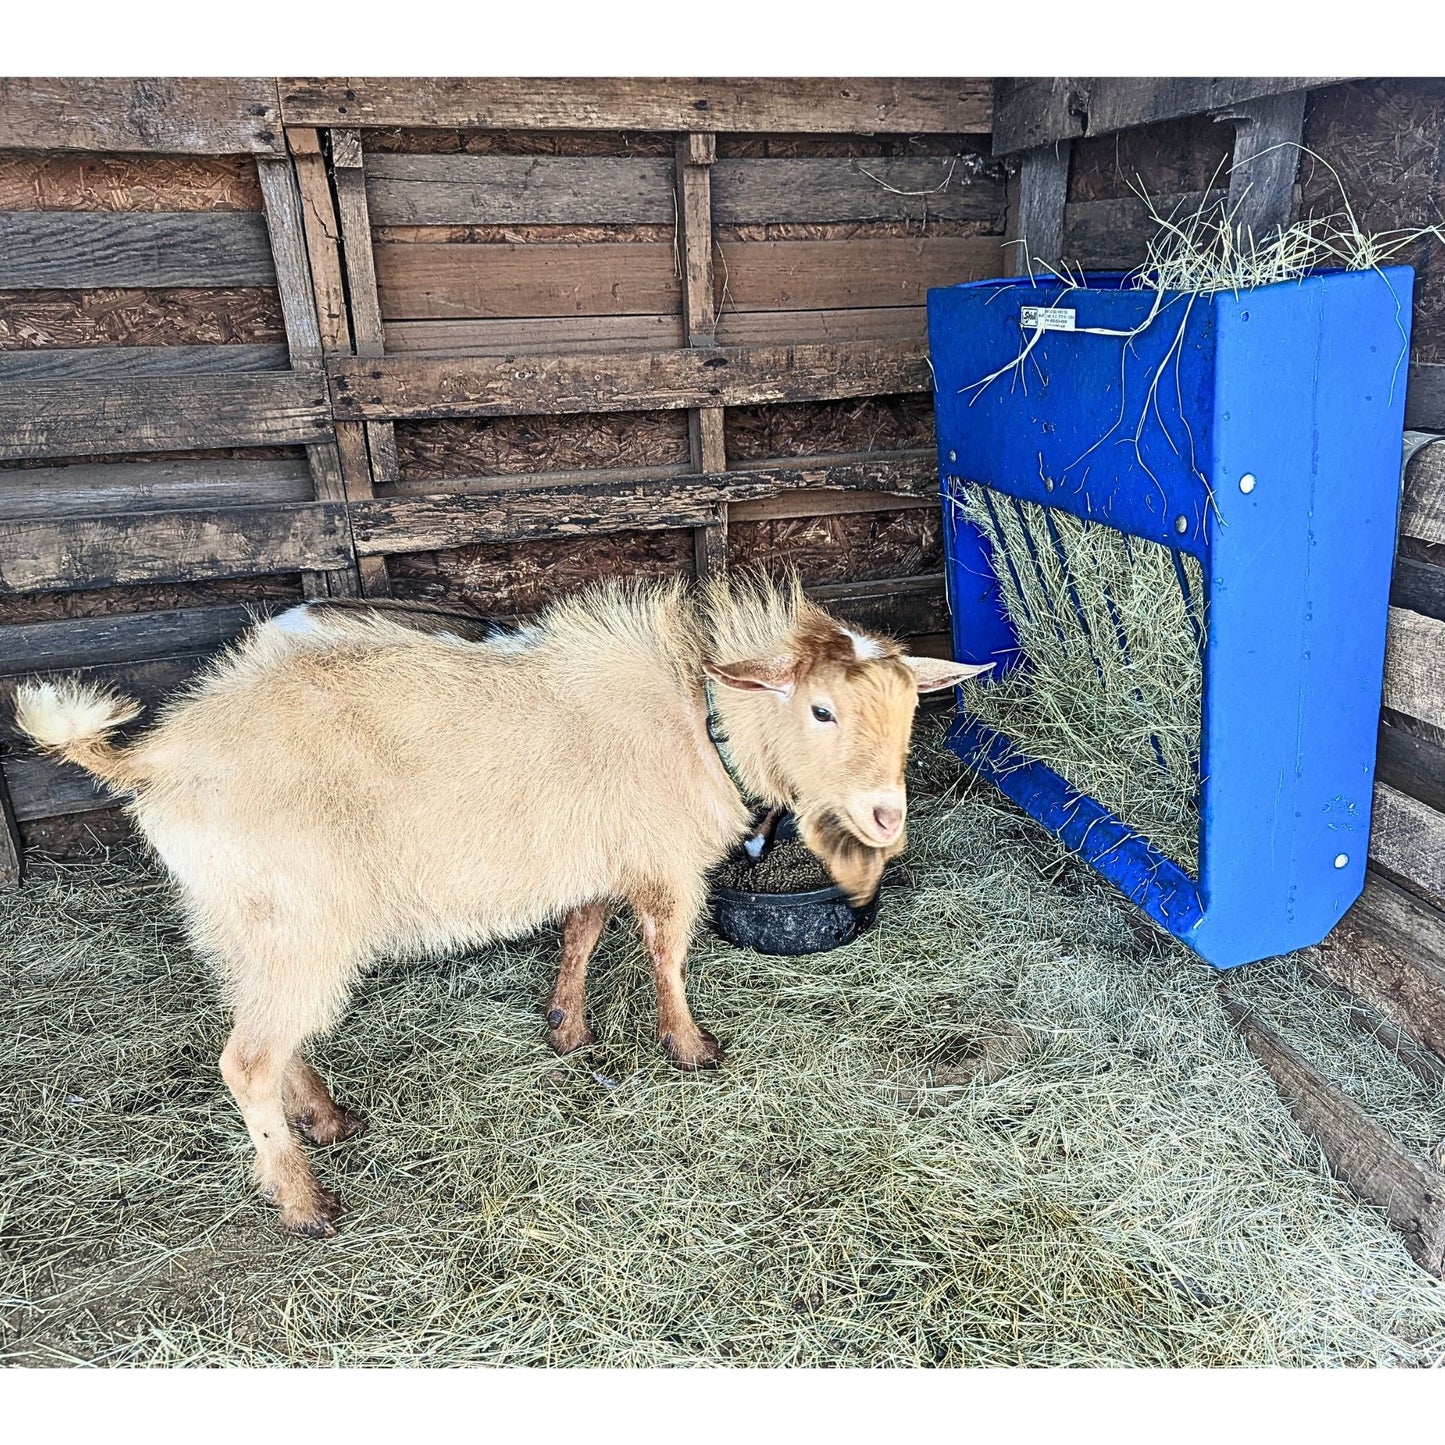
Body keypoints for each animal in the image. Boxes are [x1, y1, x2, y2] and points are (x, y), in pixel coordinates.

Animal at [13, 574, 989, 1237]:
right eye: (821, 710)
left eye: (910, 705)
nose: (886, 815)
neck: (699, 717)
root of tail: (156, 761)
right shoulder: (666, 861)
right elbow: (666, 952)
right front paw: (690, 1047)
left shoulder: (597, 853)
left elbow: (582, 929)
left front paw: (567, 1027)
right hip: (297, 919)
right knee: (247, 1059)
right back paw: (304, 1200)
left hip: (244, 922)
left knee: (268, 1034)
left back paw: (325, 1118)